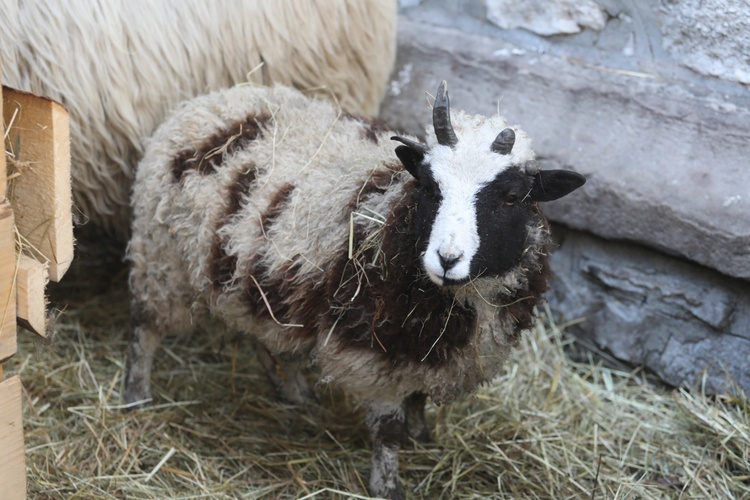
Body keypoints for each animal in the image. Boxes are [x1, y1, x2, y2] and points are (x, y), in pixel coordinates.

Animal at [125, 80, 588, 498]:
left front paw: (423, 435)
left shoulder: (423, 350)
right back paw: (137, 395)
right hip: (162, 257)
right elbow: (388, 430)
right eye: (429, 186)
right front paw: (388, 485)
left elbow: (417, 400)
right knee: (145, 328)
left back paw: (295, 393)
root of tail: (209, 100)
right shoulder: (376, 354)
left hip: (257, 278)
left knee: (264, 337)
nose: (447, 258)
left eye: (511, 197)